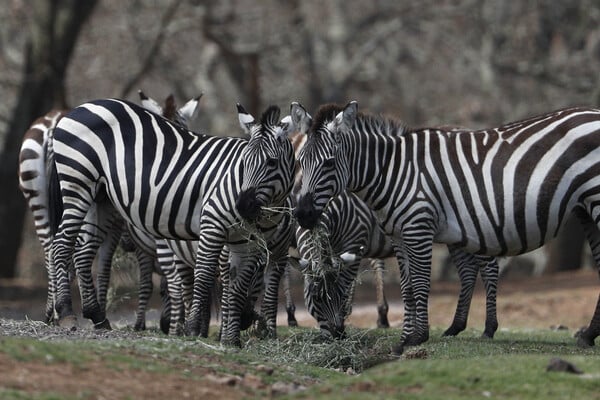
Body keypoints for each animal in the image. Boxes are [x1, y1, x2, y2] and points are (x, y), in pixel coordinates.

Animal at [49, 98, 298, 346]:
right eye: (243, 162)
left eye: (272, 162)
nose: (242, 206)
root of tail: (83, 106)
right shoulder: (212, 224)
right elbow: (204, 276)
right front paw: (194, 328)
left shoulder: (248, 244)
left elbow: (236, 288)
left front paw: (231, 340)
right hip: (77, 183)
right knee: (61, 244)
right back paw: (66, 313)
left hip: (101, 199)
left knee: (83, 252)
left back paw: (97, 317)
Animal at [296, 102, 600, 354]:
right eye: (300, 162)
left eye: (329, 163)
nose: (302, 214)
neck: (392, 172)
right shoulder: (398, 235)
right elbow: (407, 288)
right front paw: (404, 340)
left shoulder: (417, 228)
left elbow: (420, 284)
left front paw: (418, 337)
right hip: (585, 209)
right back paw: (588, 334)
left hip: (593, 200)